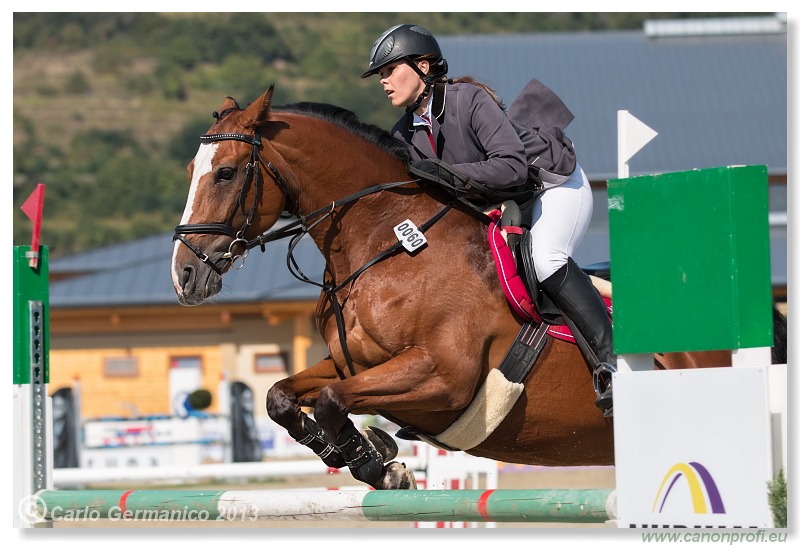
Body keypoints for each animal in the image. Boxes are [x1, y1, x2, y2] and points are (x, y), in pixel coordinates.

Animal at [170, 86, 788, 492]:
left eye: (226, 173)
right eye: (191, 172)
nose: (185, 276)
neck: (387, 244)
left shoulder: (442, 376)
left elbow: (331, 400)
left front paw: (377, 460)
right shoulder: (354, 363)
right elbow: (282, 395)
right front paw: (370, 455)